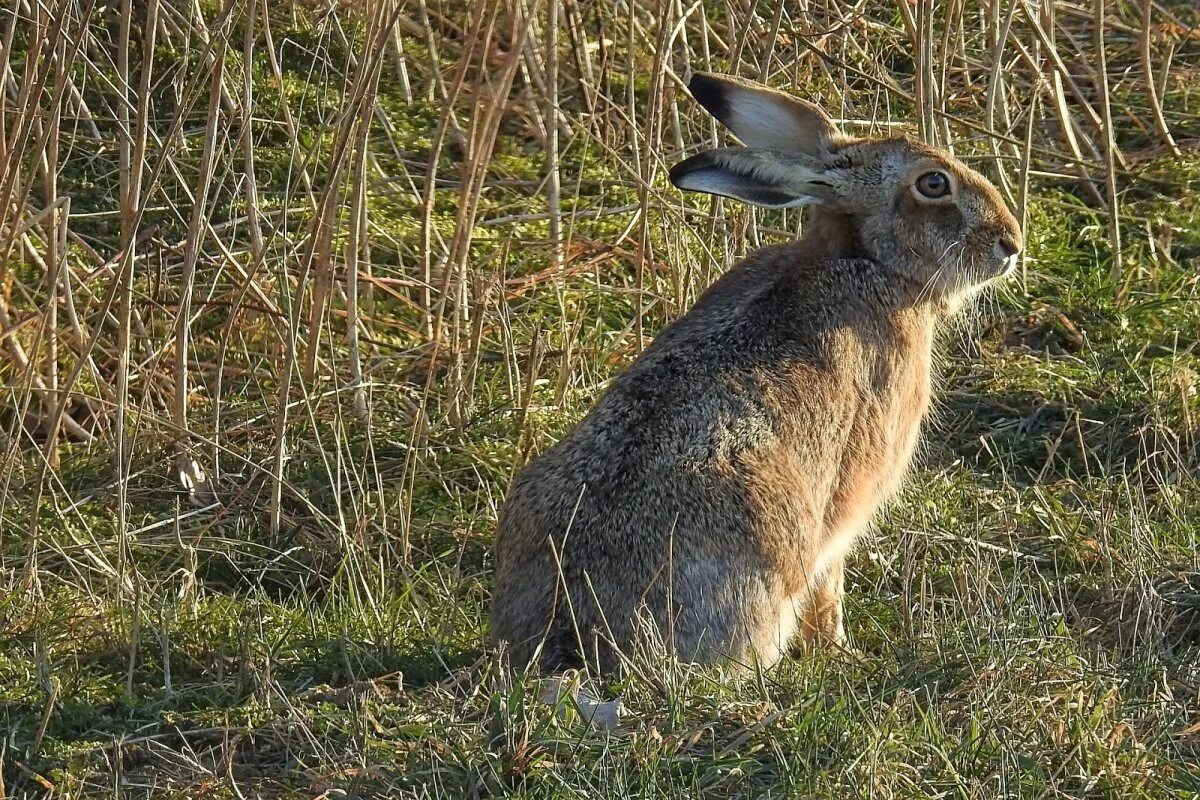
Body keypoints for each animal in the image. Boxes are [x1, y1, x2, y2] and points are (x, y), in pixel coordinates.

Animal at [490, 72, 1023, 677]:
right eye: (933, 183)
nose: (1010, 243)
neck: (867, 259)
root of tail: (571, 626)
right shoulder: (849, 501)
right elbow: (831, 579)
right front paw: (837, 649)